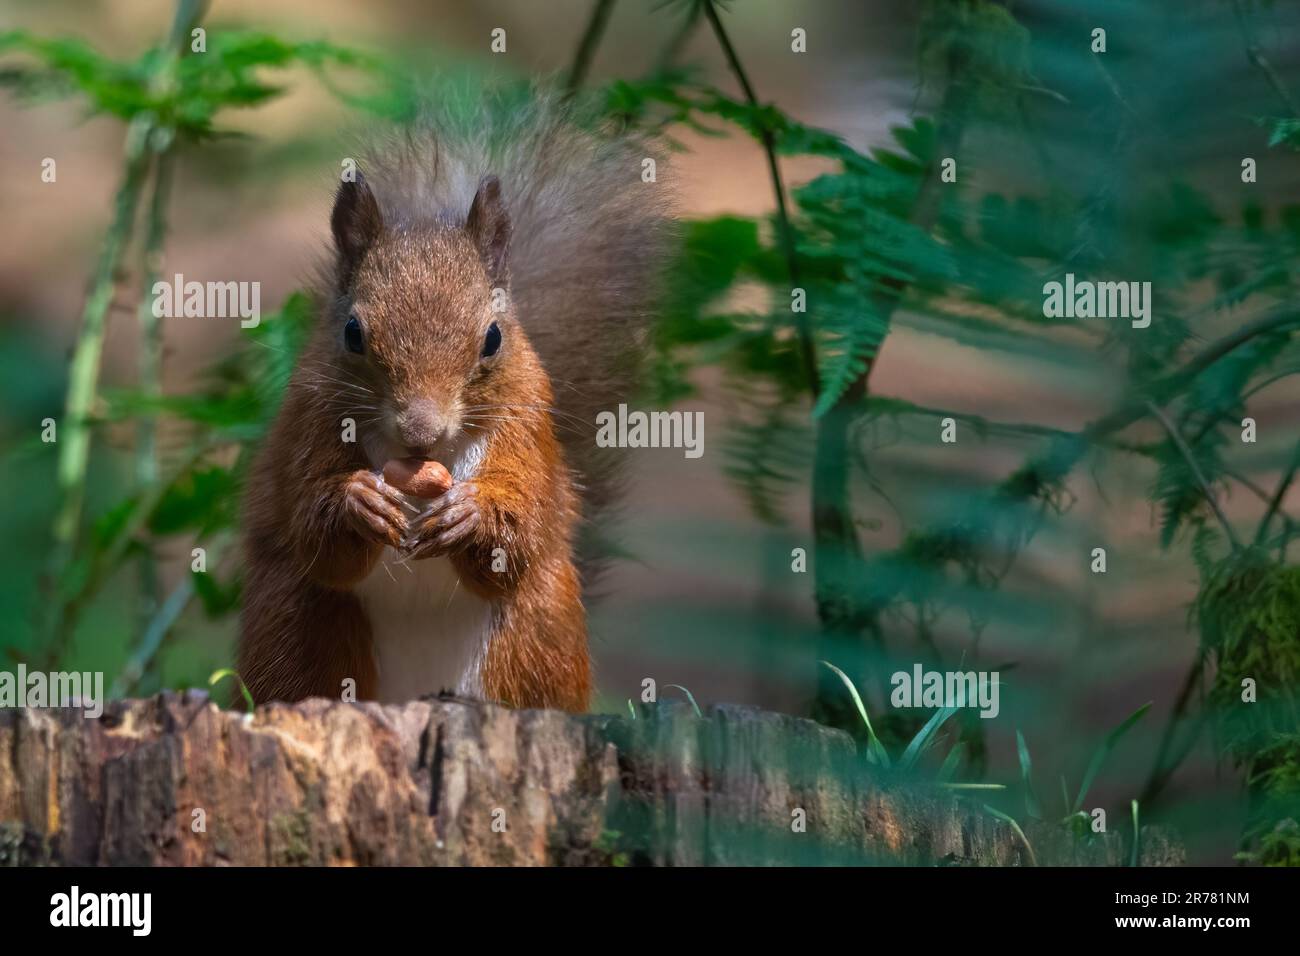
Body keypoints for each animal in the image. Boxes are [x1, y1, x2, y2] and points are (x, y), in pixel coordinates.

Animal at [236, 97, 670, 712]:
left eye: (492, 337)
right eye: (352, 333)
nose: (422, 428)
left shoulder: (526, 430)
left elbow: (519, 535)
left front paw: (473, 516)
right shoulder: (309, 419)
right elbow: (315, 536)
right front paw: (358, 501)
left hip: (535, 636)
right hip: (299, 625)